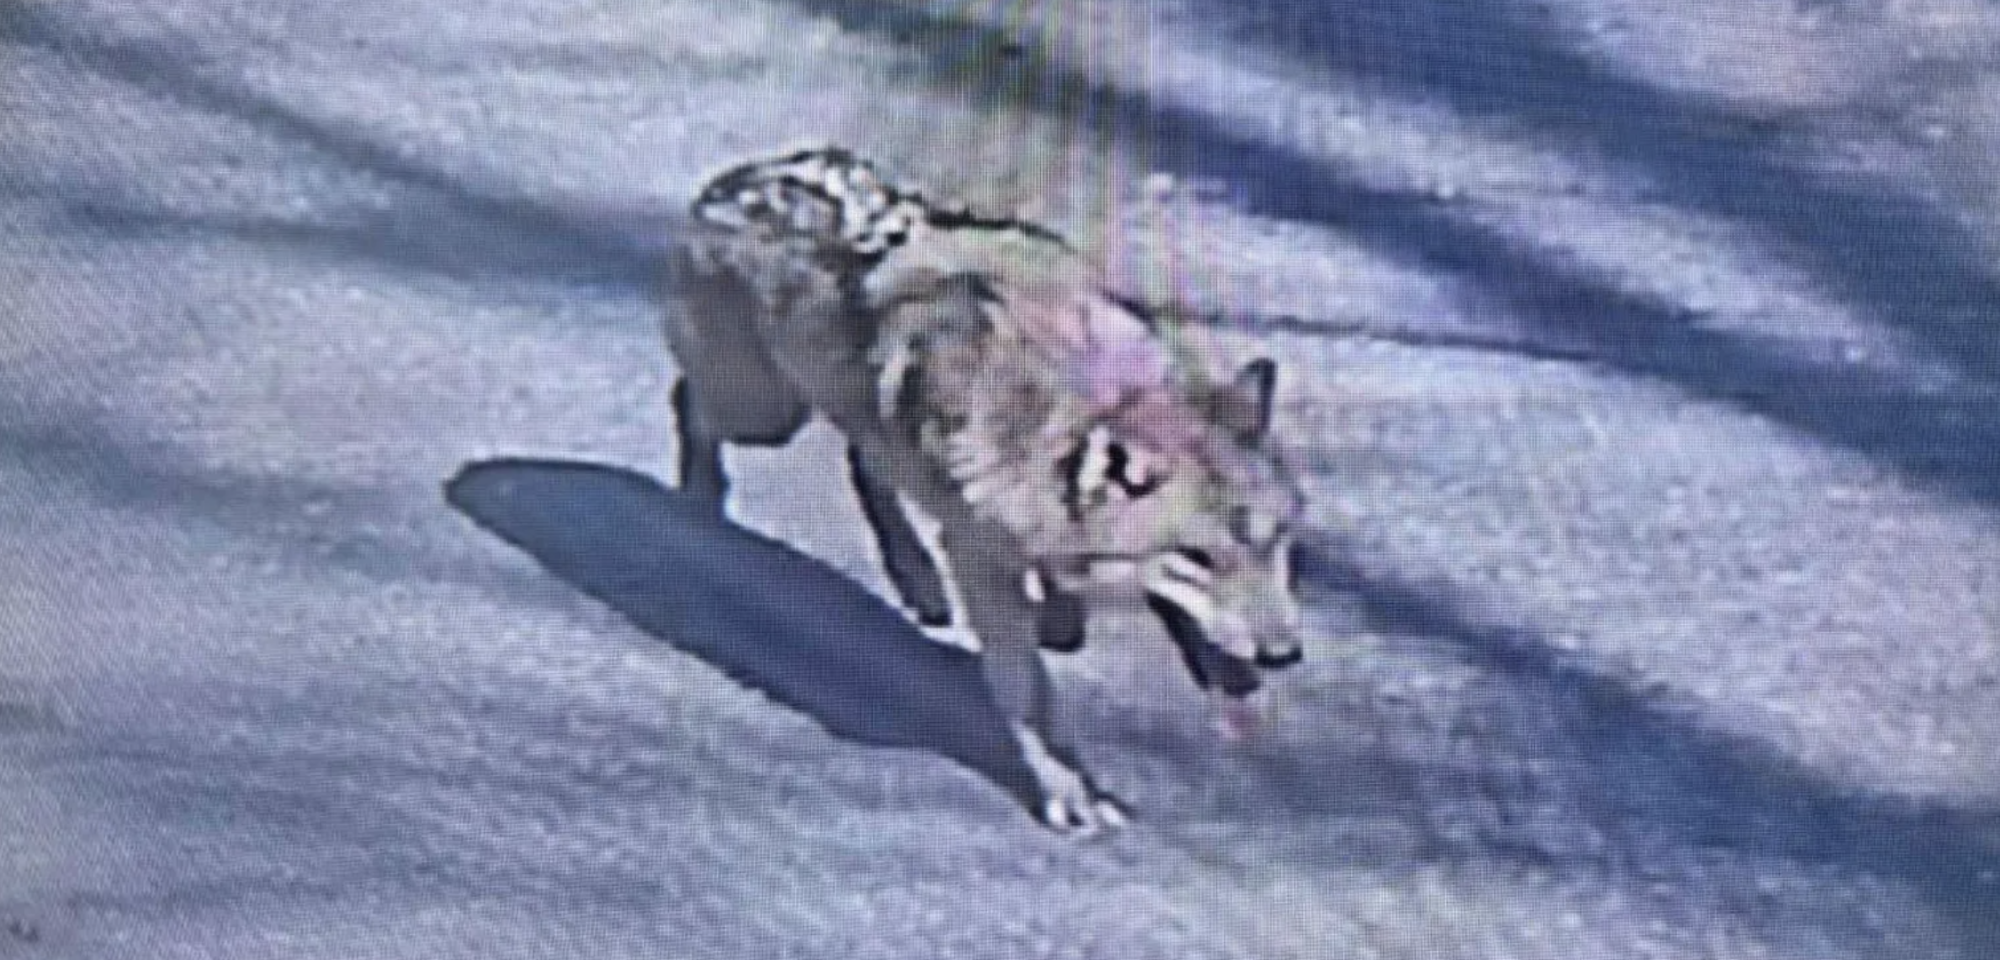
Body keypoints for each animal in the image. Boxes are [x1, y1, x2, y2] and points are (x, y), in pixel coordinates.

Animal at [665, 148, 1304, 833]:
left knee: (866, 461)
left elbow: (1072, 612)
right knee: (690, 403)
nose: (1284, 655)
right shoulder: (981, 559)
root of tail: (740, 177)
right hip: (764, 414)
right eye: (1197, 558)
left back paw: (917, 580)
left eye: (1275, 543)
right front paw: (1074, 795)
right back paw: (700, 505)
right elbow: (1029, 694)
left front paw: (1065, 618)